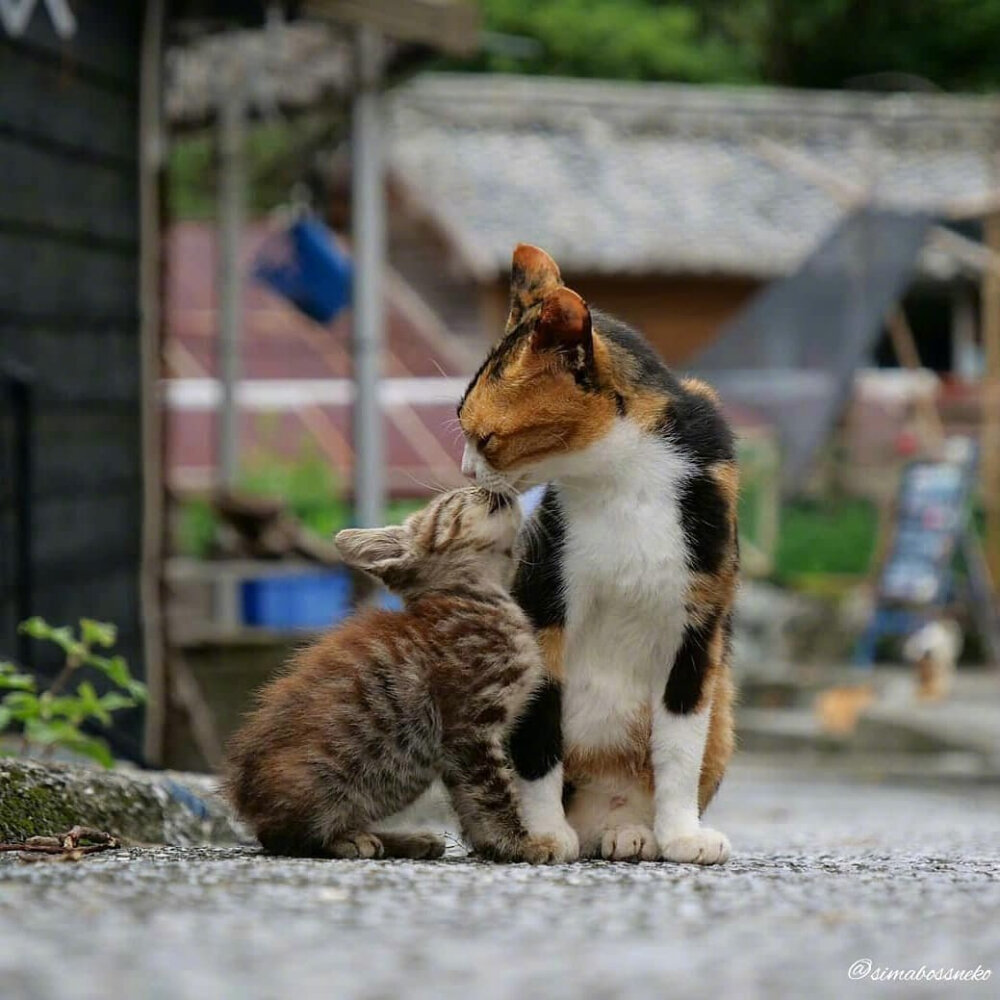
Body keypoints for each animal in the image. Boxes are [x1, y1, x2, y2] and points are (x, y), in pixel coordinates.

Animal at [223, 488, 576, 864]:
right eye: (456, 500)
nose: (486, 488)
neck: (479, 599)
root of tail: (243, 797)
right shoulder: (469, 730)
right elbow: (492, 795)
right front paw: (521, 844)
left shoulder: (458, 751)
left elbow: (469, 801)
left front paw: (491, 845)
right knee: (282, 835)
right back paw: (346, 839)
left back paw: (404, 840)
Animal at [458, 246, 740, 864]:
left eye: (485, 438)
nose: (466, 472)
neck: (622, 477)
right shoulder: (543, 610)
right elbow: (538, 736)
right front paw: (542, 833)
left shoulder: (697, 630)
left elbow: (680, 747)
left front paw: (681, 835)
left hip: (725, 701)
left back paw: (632, 830)